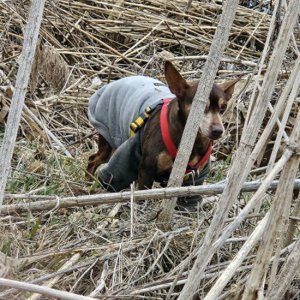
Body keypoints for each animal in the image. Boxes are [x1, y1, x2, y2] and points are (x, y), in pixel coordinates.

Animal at [85, 61, 238, 195]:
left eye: (223, 108)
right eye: (199, 107)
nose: (218, 130)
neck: (192, 141)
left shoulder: (194, 178)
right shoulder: (146, 170)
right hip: (108, 138)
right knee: (93, 159)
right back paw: (87, 185)